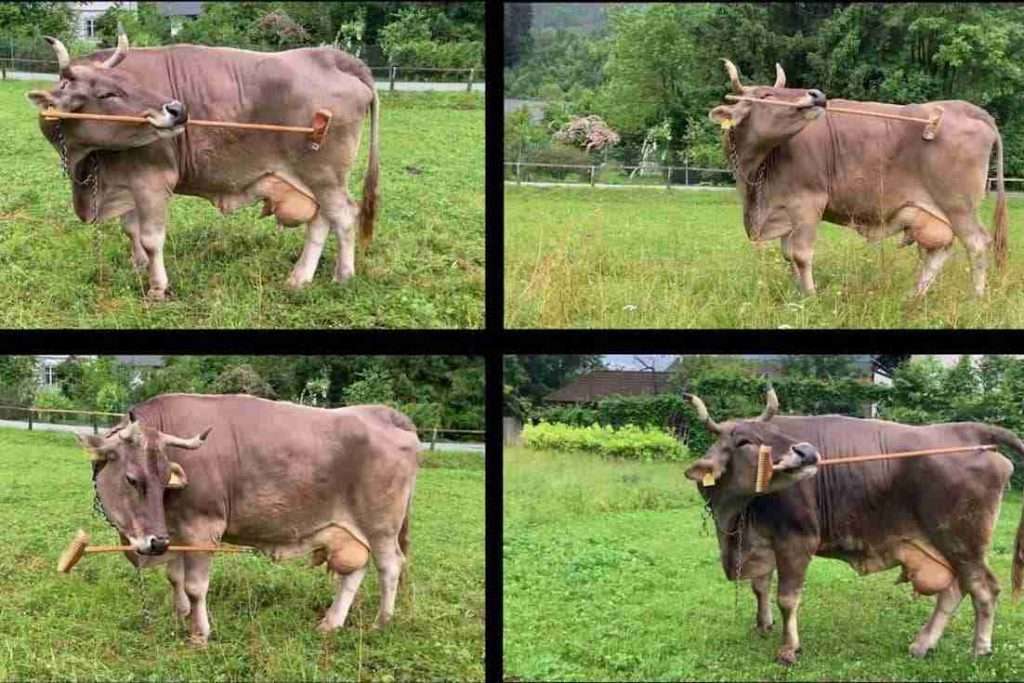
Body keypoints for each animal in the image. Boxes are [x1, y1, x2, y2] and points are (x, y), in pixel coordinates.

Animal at [26, 29, 379, 300]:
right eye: (107, 93)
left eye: (125, 80)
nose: (177, 109)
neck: (87, 167)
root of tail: (331, 56)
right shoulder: (126, 182)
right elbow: (130, 229)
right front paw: (138, 267)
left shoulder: (152, 181)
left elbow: (151, 238)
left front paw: (157, 288)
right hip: (314, 181)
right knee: (321, 220)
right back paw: (300, 278)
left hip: (324, 175)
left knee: (344, 216)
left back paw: (343, 276)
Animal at [76, 393, 418, 646]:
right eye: (132, 479)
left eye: (163, 480)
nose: (155, 542)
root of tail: (382, 413)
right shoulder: (175, 531)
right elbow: (175, 578)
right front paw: (180, 616)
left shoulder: (202, 528)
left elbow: (195, 586)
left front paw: (199, 634)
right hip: (351, 531)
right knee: (355, 572)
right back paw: (331, 623)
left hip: (381, 527)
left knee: (390, 567)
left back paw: (381, 623)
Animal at [682, 388, 1024, 664]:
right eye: (743, 441)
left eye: (774, 430)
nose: (807, 452)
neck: (736, 516)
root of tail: (969, 430)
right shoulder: (761, 541)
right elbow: (760, 586)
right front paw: (763, 624)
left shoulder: (796, 540)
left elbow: (787, 598)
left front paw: (789, 649)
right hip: (947, 546)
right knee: (954, 589)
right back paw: (922, 645)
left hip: (962, 541)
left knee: (984, 588)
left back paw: (979, 649)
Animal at [709, 59, 1007, 298]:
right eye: (767, 94)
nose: (817, 94)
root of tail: (969, 109)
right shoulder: (784, 210)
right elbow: (787, 255)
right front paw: (796, 294)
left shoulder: (808, 203)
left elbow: (801, 255)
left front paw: (810, 297)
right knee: (940, 250)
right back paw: (914, 296)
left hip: (959, 205)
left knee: (977, 244)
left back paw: (976, 298)